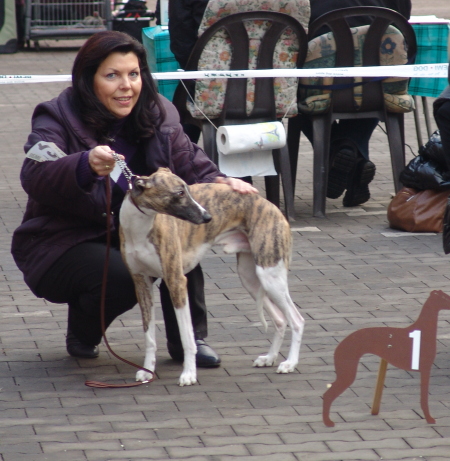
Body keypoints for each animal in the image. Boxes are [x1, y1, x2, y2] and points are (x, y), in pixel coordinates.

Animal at [118, 168, 306, 384]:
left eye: (187, 189)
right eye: (179, 193)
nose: (208, 217)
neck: (141, 227)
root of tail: (273, 207)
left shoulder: (176, 281)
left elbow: (187, 337)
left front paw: (189, 374)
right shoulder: (141, 283)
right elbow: (149, 336)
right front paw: (147, 370)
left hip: (270, 275)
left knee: (297, 320)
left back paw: (290, 363)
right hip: (251, 278)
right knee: (281, 320)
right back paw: (269, 358)